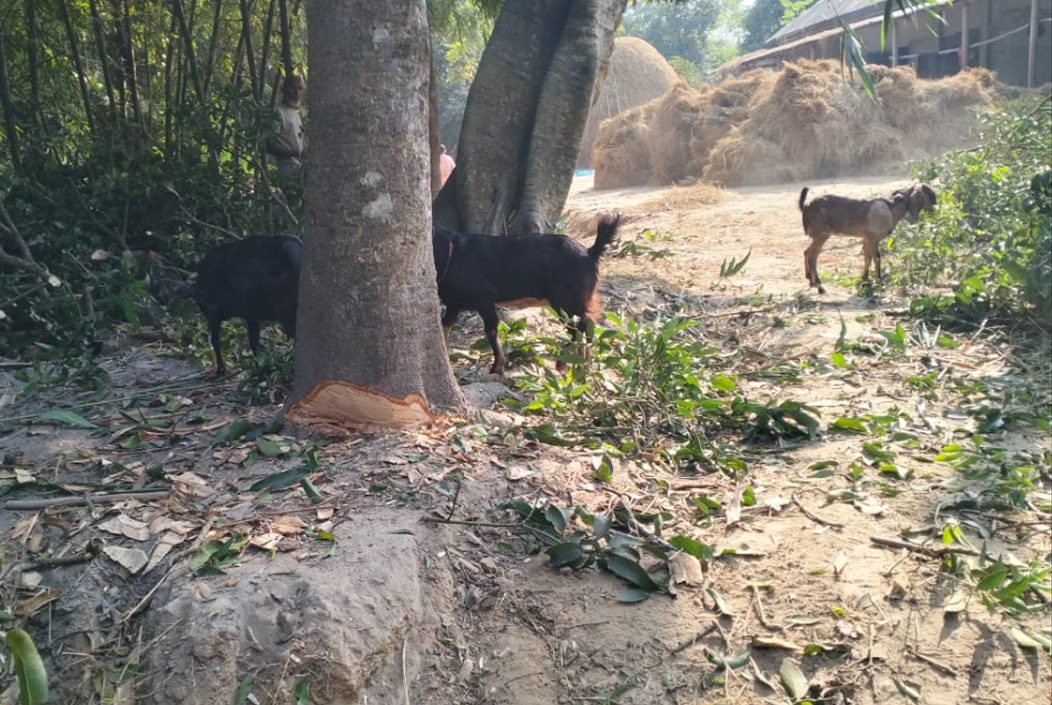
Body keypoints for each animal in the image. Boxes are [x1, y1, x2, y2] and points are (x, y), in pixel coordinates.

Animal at [431, 215, 618, 374]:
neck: (451, 254)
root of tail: (590, 252)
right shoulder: (454, 303)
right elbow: (443, 326)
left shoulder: (484, 298)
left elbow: (491, 330)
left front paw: (497, 367)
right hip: (579, 299)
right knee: (587, 324)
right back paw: (583, 363)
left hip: (566, 300)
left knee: (577, 327)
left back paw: (564, 364)